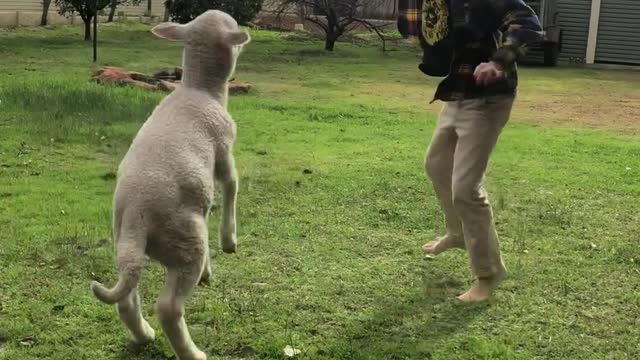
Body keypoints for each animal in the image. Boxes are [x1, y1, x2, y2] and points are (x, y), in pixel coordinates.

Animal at [90, 11, 250, 360]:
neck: (200, 88)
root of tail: (137, 216)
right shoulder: (223, 146)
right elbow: (232, 185)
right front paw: (229, 240)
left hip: (129, 243)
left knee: (127, 298)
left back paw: (144, 335)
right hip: (185, 241)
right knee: (168, 307)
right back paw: (193, 353)